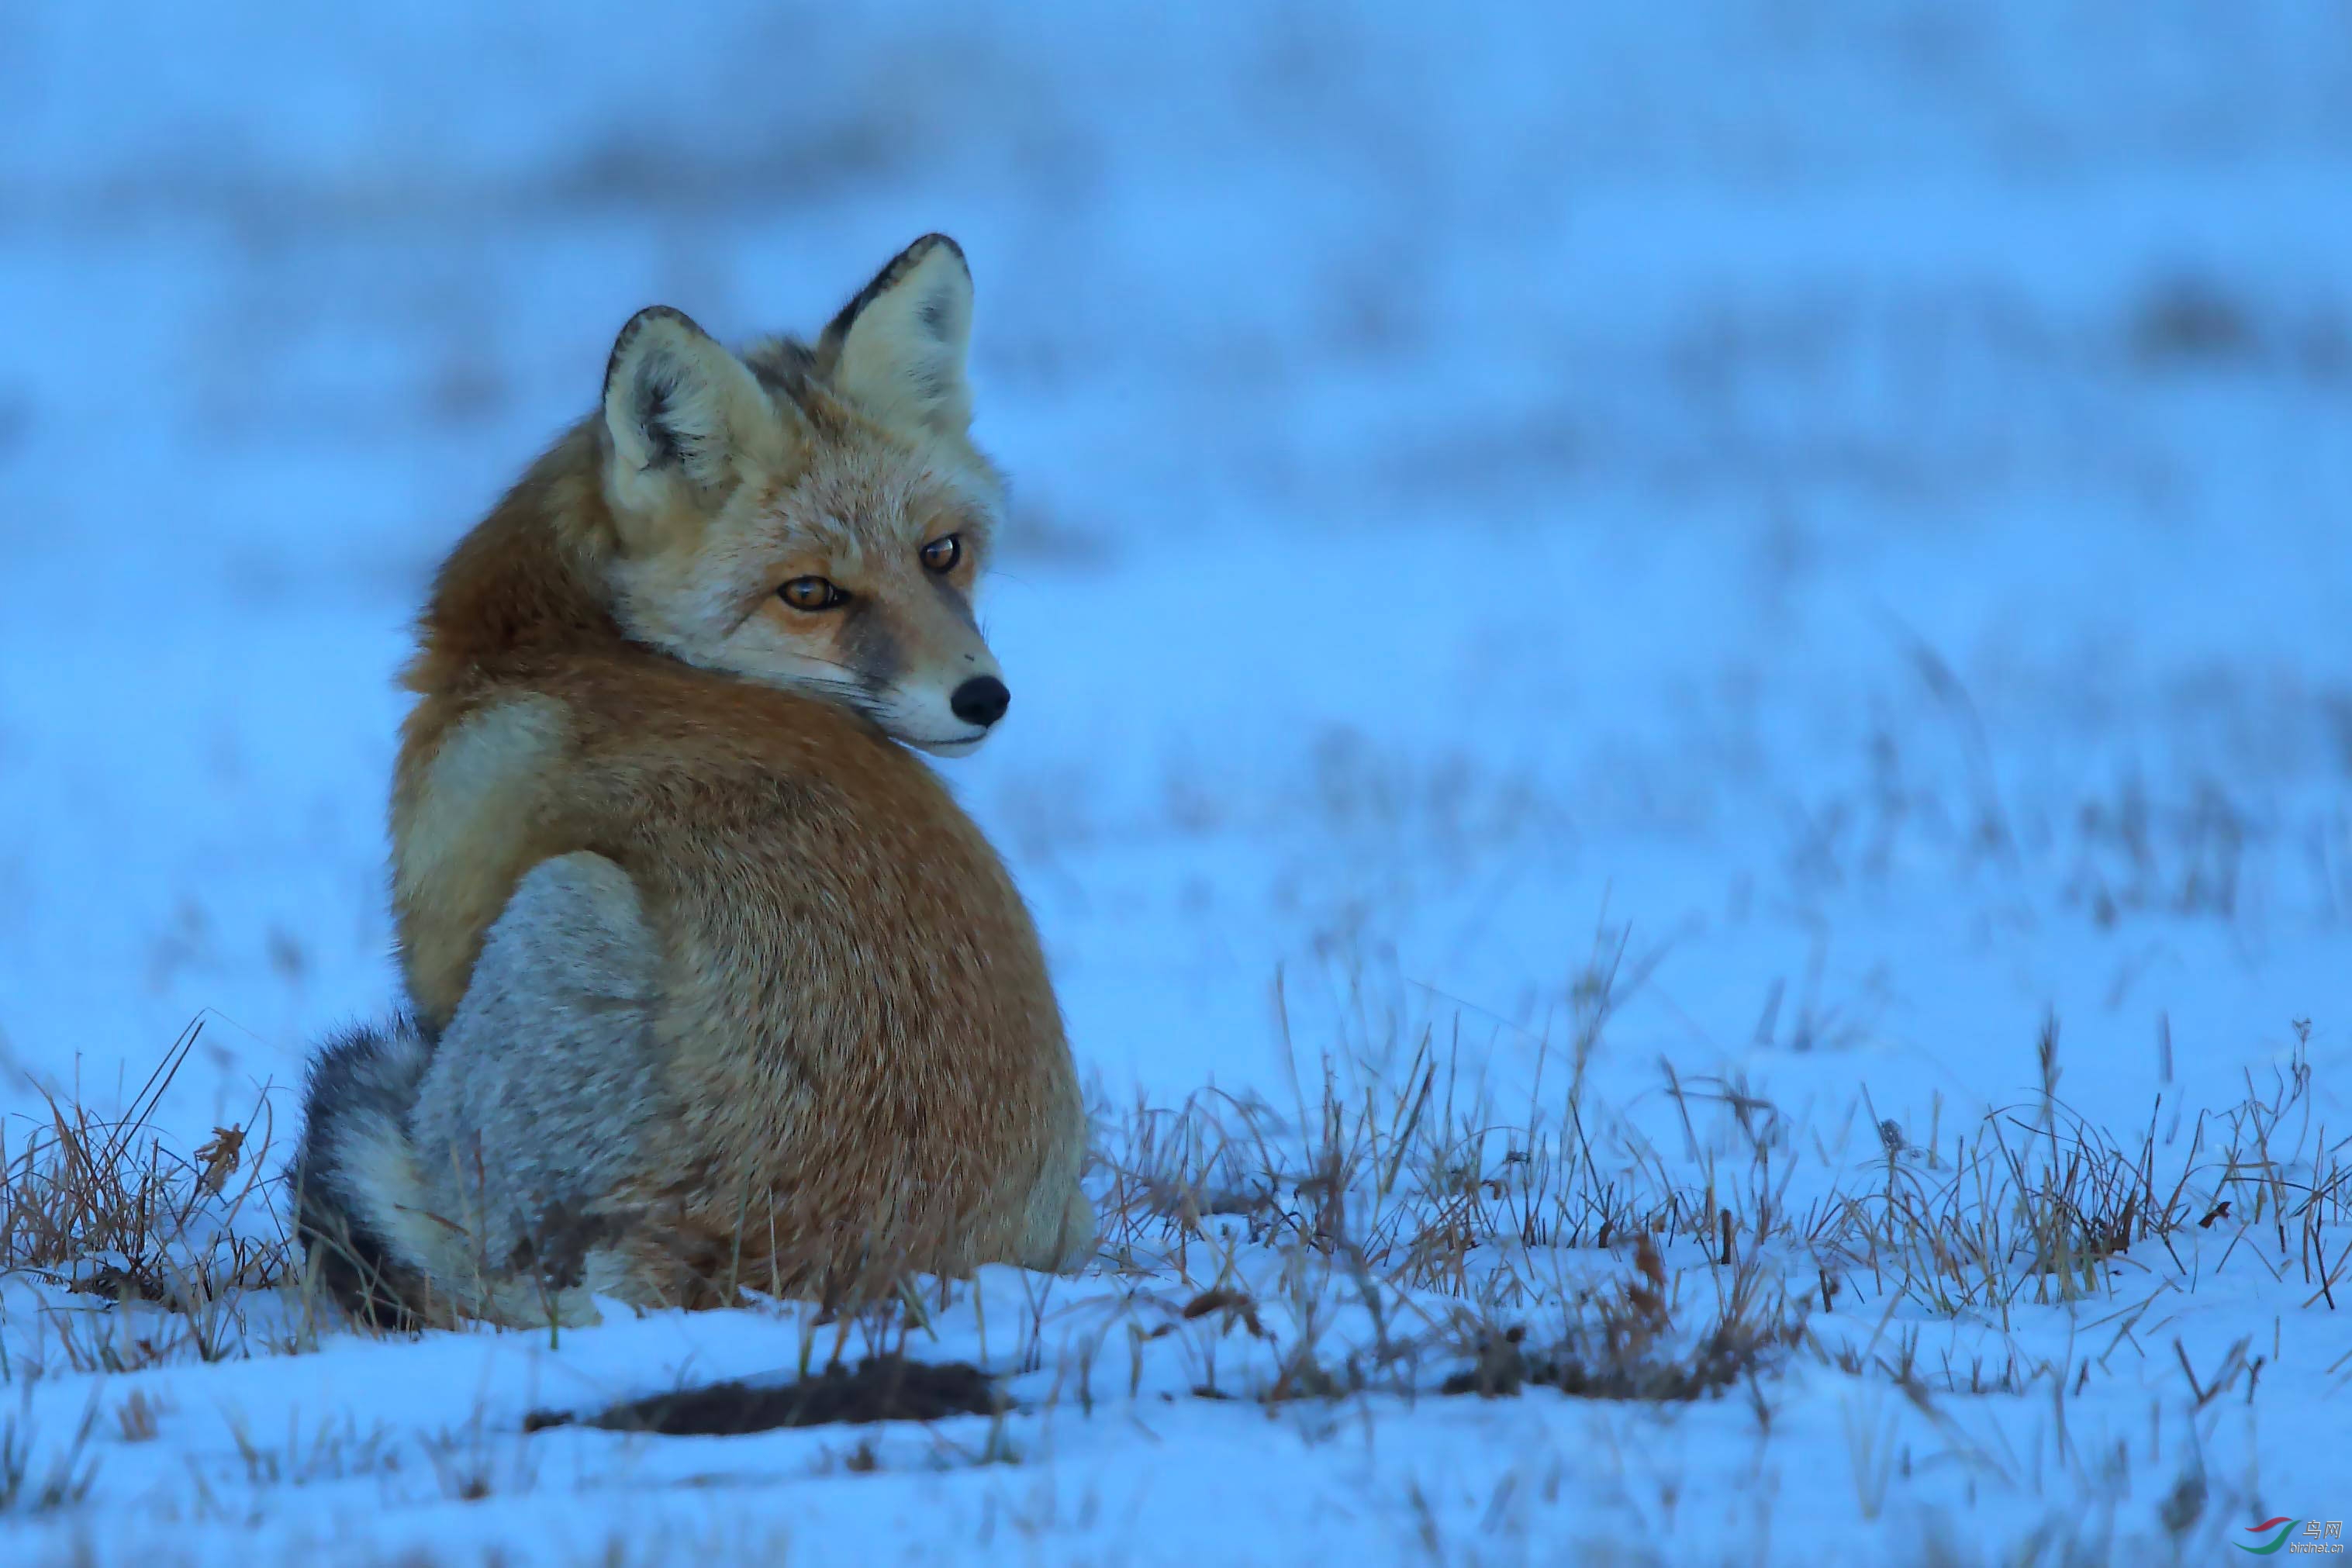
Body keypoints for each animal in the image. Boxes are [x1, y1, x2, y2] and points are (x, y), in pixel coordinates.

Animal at [292, 240, 1091, 1335]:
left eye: (941, 552)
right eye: (811, 593)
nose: (984, 697)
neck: (571, 638)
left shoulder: (450, 939)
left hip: (558, 909)